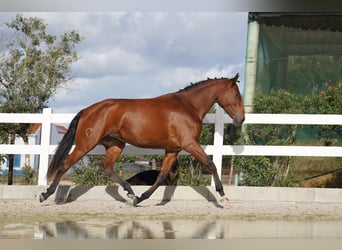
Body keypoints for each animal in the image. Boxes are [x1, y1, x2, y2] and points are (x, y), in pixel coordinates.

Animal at [39, 73, 243, 206]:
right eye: (236, 94)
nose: (241, 119)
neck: (187, 107)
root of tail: (88, 110)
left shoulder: (173, 149)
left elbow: (161, 176)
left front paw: (140, 198)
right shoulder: (189, 144)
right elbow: (211, 164)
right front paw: (223, 196)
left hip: (116, 145)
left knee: (106, 167)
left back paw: (130, 192)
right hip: (85, 144)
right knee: (65, 164)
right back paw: (45, 195)